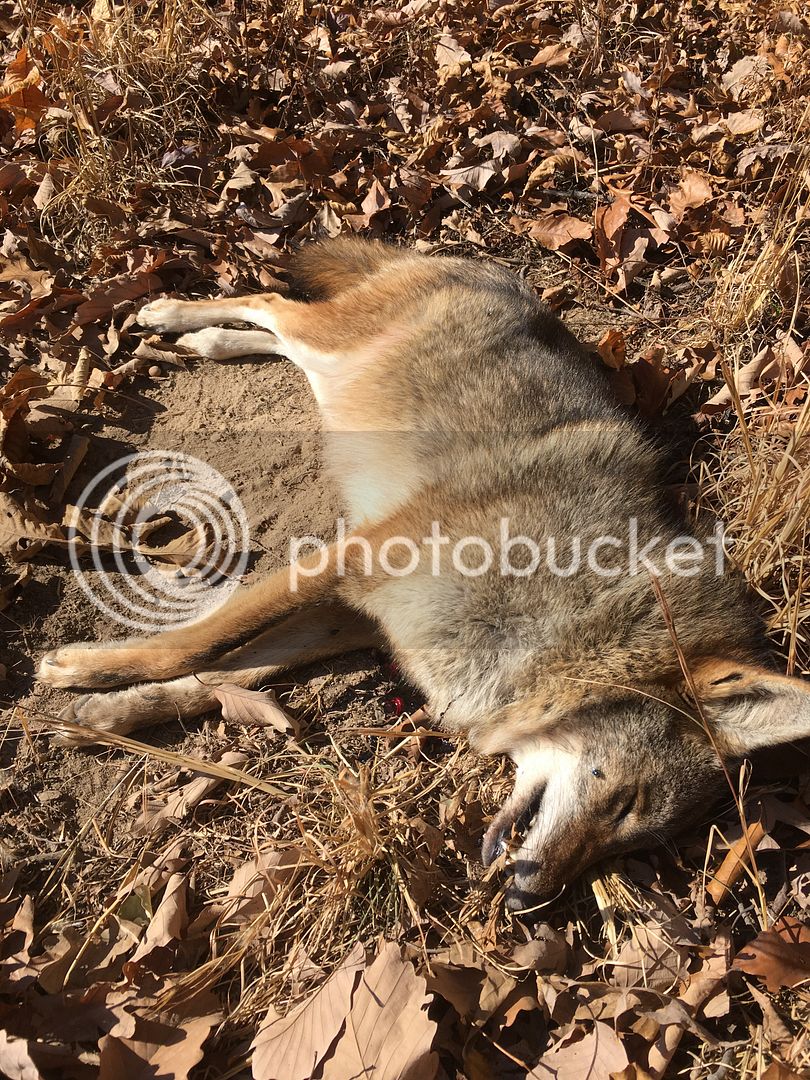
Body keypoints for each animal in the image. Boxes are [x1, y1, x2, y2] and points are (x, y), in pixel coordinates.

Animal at [38, 238, 810, 910]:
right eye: (624, 802)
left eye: (631, 846)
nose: (530, 901)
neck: (569, 615)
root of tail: (496, 273)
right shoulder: (344, 562)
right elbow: (196, 643)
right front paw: (80, 670)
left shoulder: (354, 620)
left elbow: (222, 674)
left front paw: (102, 719)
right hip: (332, 343)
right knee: (268, 297)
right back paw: (169, 314)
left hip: (329, 368)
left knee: (274, 326)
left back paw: (206, 343)